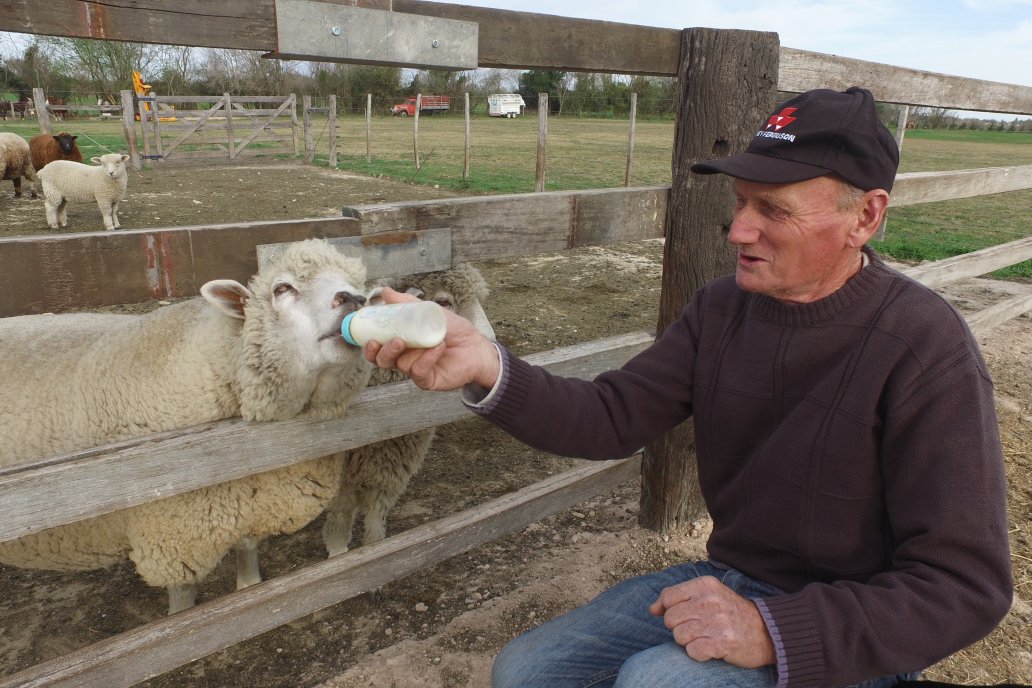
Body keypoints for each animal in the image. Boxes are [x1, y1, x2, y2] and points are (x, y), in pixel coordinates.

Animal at [0, 241, 375, 614]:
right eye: (281, 289)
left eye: (360, 284)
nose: (354, 299)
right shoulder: (171, 537)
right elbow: (183, 602)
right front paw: (185, 618)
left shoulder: (245, 499)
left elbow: (246, 547)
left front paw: (248, 587)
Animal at [321, 264, 499, 561]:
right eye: (443, 302)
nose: (490, 346)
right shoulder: (341, 478)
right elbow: (339, 521)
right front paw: (339, 556)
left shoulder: (392, 472)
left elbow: (376, 523)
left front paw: (376, 553)